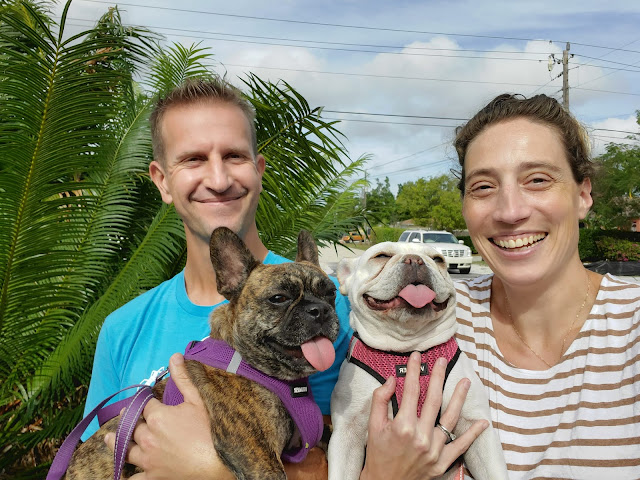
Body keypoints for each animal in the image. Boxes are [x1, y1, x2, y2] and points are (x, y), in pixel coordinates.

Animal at [328, 241, 508, 480]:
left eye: (439, 260)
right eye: (381, 256)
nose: (415, 260)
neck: (408, 351)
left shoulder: (477, 426)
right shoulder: (346, 434)